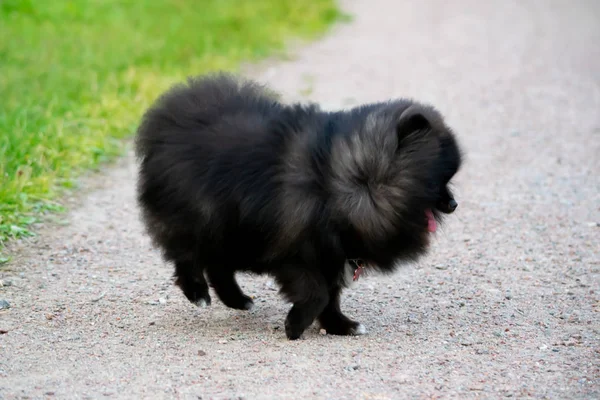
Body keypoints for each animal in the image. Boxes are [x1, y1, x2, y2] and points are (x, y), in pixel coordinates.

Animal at [135, 73, 464, 340]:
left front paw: (341, 326)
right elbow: (317, 295)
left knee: (218, 266)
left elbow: (331, 298)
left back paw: (238, 300)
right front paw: (295, 326)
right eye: (439, 181)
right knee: (187, 256)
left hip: (229, 231)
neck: (348, 179)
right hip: (201, 218)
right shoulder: (298, 254)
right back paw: (198, 293)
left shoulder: (333, 255)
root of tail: (166, 125)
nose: (453, 203)